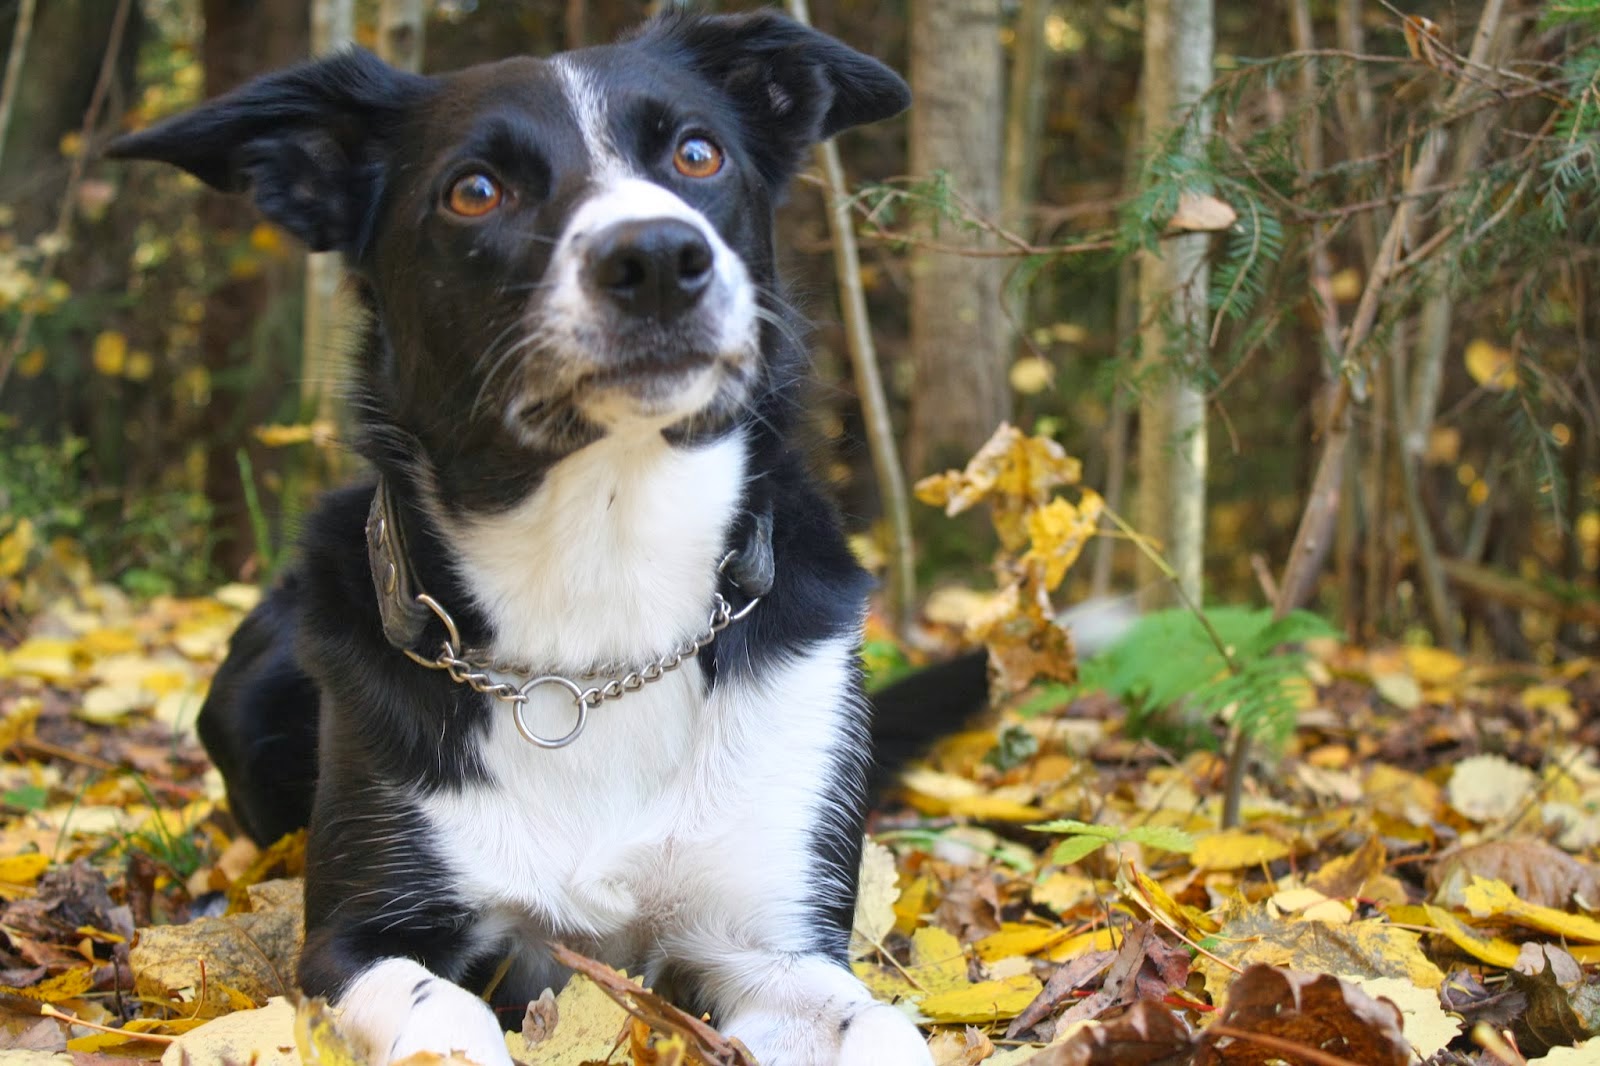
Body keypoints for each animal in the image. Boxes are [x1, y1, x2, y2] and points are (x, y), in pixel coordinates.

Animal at [118, 8, 960, 1062]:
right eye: (475, 190)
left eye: (697, 152)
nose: (657, 259)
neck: (599, 591)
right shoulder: (357, 939)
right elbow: (446, 1015)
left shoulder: (772, 945)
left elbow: (875, 1025)